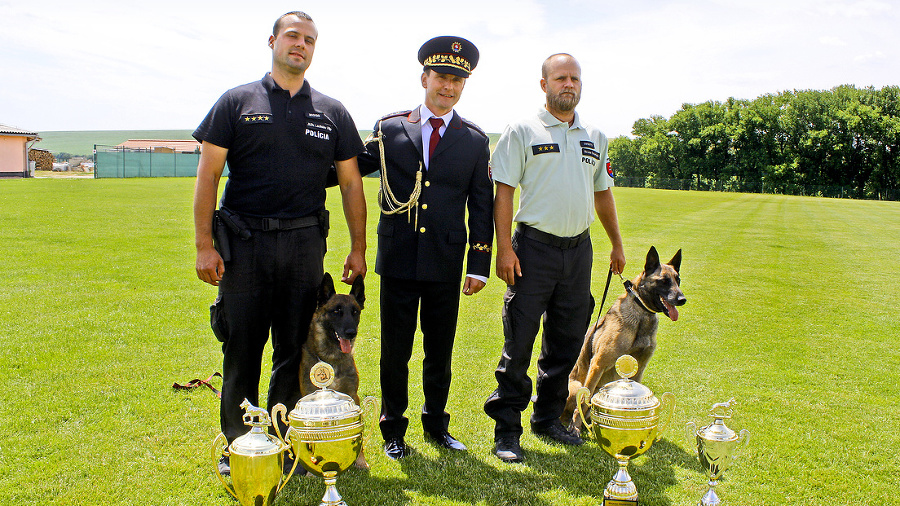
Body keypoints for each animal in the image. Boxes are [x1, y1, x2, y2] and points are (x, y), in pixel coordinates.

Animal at [300, 272, 368, 466]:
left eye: (355, 312)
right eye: (336, 311)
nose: (351, 333)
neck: (331, 359)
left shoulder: (353, 396)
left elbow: (358, 434)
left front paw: (360, 461)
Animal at [568, 247, 684, 432]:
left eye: (677, 280)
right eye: (664, 281)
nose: (682, 299)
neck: (642, 313)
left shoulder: (639, 369)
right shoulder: (598, 364)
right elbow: (584, 401)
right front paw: (575, 428)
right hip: (577, 386)